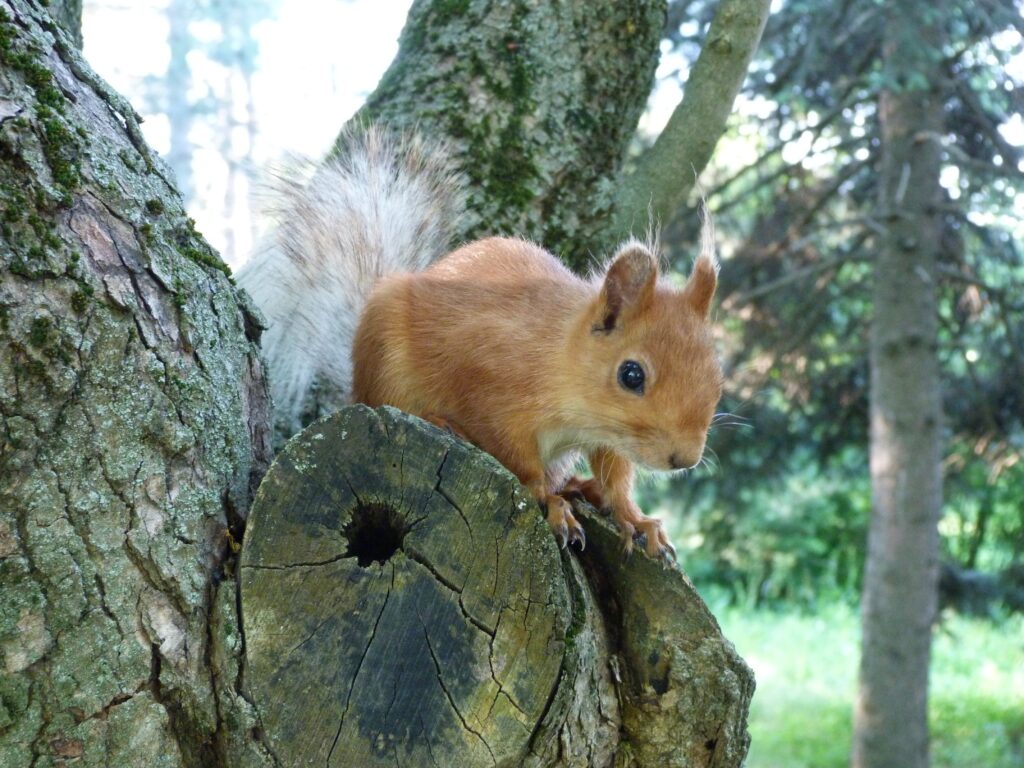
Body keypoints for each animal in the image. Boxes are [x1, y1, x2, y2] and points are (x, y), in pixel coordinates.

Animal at [239, 126, 723, 561]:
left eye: (718, 377)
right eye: (631, 374)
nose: (684, 459)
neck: (562, 363)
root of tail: (355, 383)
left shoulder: (609, 436)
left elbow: (615, 475)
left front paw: (634, 517)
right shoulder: (488, 388)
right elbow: (517, 460)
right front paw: (549, 502)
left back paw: (578, 486)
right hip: (387, 372)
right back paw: (445, 425)